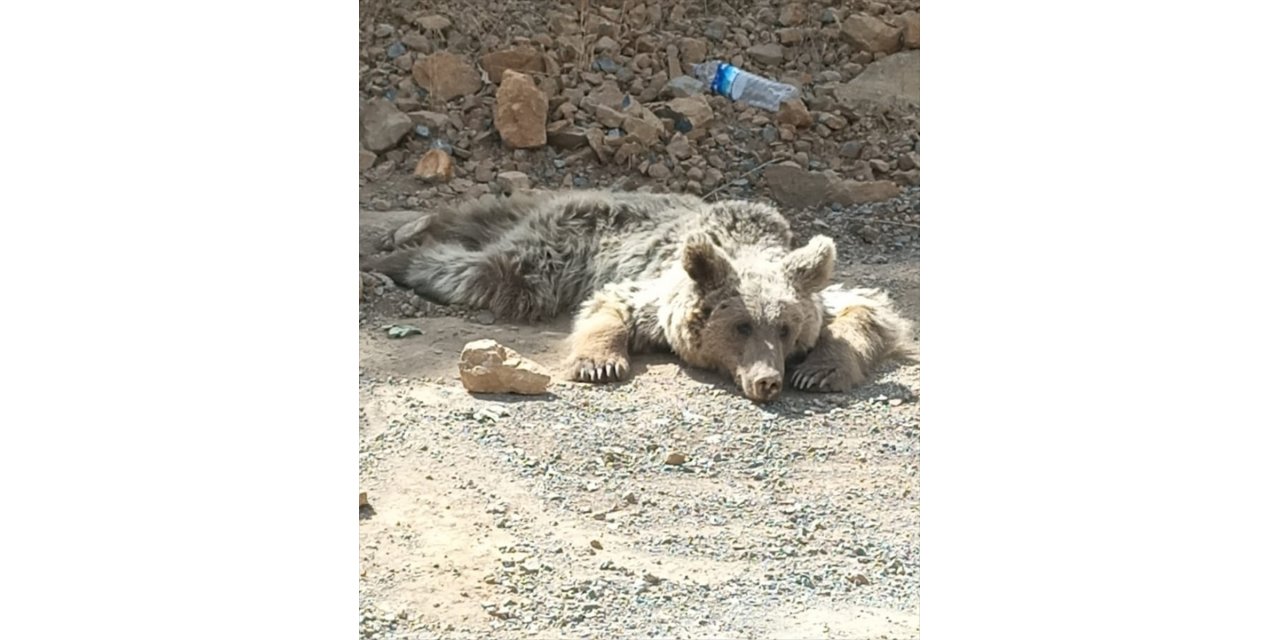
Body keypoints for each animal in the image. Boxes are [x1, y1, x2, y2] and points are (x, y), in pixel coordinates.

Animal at [366, 186, 916, 401]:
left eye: (784, 328)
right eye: (741, 326)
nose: (768, 381)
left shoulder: (814, 287)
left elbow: (868, 308)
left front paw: (820, 371)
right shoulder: (653, 289)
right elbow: (609, 305)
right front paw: (600, 363)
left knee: (478, 219)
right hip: (552, 252)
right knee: (489, 271)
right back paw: (394, 253)